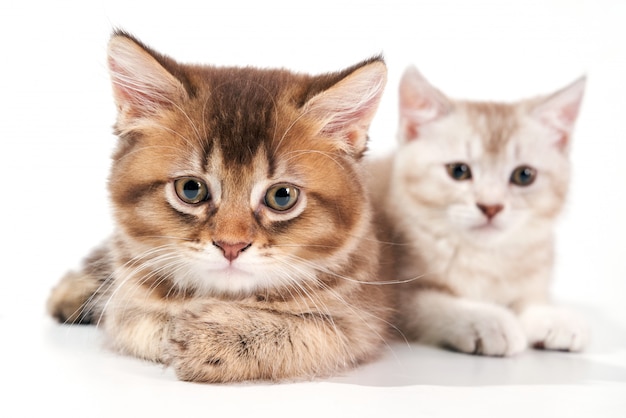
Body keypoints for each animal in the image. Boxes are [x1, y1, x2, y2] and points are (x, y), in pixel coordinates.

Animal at [46, 31, 390, 384]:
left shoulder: (358, 322)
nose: (231, 246)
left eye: (282, 197)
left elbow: (299, 333)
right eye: (191, 189)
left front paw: (211, 336)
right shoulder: (129, 291)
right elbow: (134, 316)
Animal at [370, 65, 588, 356]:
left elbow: (530, 298)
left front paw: (553, 317)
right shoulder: (393, 293)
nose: (491, 206)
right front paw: (487, 319)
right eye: (459, 171)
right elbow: (431, 303)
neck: (482, 257)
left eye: (524, 175)